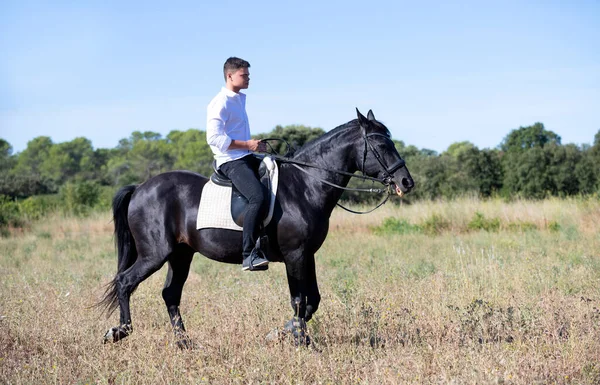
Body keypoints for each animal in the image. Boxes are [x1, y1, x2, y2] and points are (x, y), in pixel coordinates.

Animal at [101, 108, 414, 344]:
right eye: (382, 145)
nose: (406, 182)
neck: (305, 185)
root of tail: (140, 187)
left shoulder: (307, 254)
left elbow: (312, 300)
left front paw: (283, 333)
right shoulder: (294, 255)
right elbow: (299, 299)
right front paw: (298, 340)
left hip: (181, 254)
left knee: (170, 294)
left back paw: (184, 343)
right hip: (155, 253)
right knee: (125, 282)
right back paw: (119, 332)